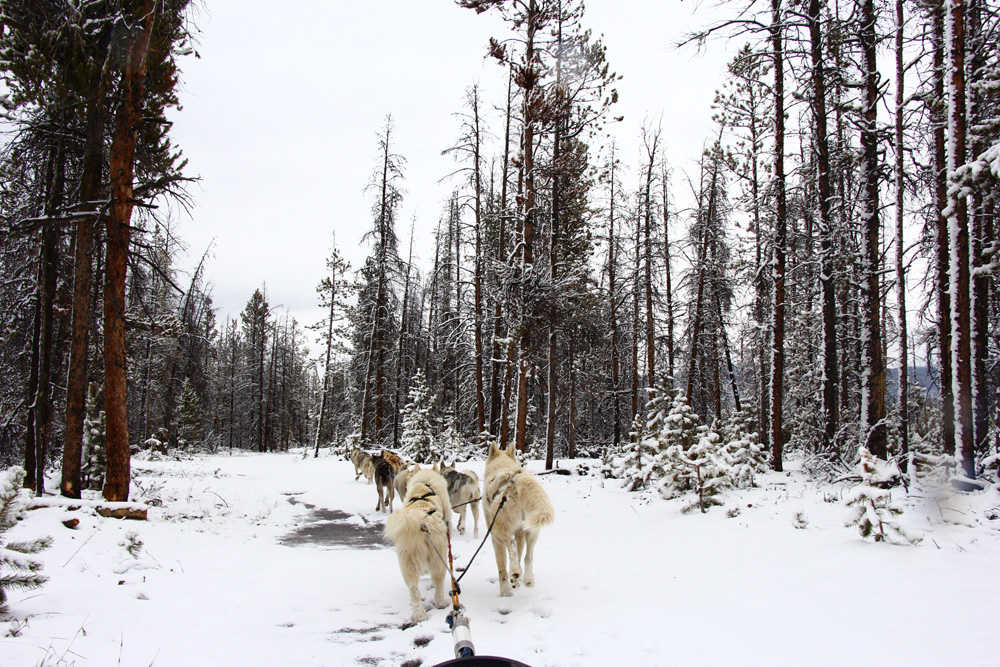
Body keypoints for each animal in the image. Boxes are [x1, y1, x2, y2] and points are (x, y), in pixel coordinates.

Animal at [382, 468, 454, 624]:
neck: (424, 485)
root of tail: (418, 521)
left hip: (407, 560)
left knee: (414, 589)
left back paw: (419, 615)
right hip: (438, 554)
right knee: (438, 579)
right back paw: (441, 602)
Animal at [482, 446, 556, 596]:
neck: (503, 466)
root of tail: (516, 479)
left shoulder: (494, 538)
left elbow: (502, 569)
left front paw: (505, 592)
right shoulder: (520, 532)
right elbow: (520, 554)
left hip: (498, 528)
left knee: (511, 544)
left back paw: (515, 573)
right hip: (532, 530)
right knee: (528, 557)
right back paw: (527, 579)